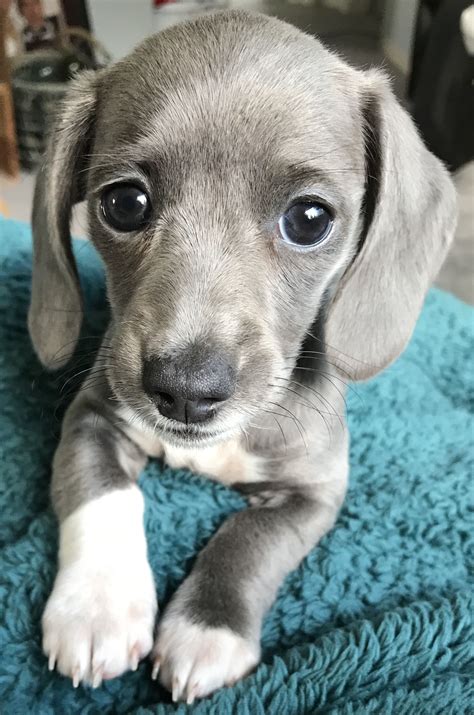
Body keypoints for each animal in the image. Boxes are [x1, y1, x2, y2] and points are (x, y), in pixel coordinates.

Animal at [27, 9, 458, 704]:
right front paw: (97, 605)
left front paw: (207, 629)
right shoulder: (92, 417)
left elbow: (248, 540)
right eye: (123, 203)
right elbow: (105, 494)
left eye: (309, 218)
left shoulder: (316, 491)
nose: (185, 389)